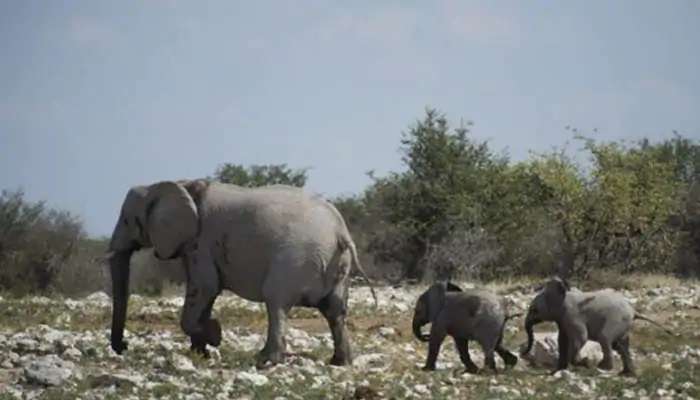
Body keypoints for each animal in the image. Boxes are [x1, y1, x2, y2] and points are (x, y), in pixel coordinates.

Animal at [106, 179, 376, 368]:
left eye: (128, 220)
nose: (124, 347)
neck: (179, 184)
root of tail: (341, 232)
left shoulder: (201, 241)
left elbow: (205, 287)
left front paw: (214, 336)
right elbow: (206, 293)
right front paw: (201, 353)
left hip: (295, 259)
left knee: (276, 302)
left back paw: (265, 361)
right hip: (337, 266)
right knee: (334, 310)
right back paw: (340, 362)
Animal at [522, 277, 673, 375]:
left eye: (534, 310)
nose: (523, 353)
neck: (563, 295)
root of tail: (634, 311)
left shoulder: (572, 316)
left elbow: (581, 338)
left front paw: (584, 363)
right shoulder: (563, 320)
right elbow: (562, 340)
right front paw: (557, 371)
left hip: (617, 320)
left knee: (605, 338)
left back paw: (603, 367)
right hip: (624, 325)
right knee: (620, 344)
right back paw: (626, 373)